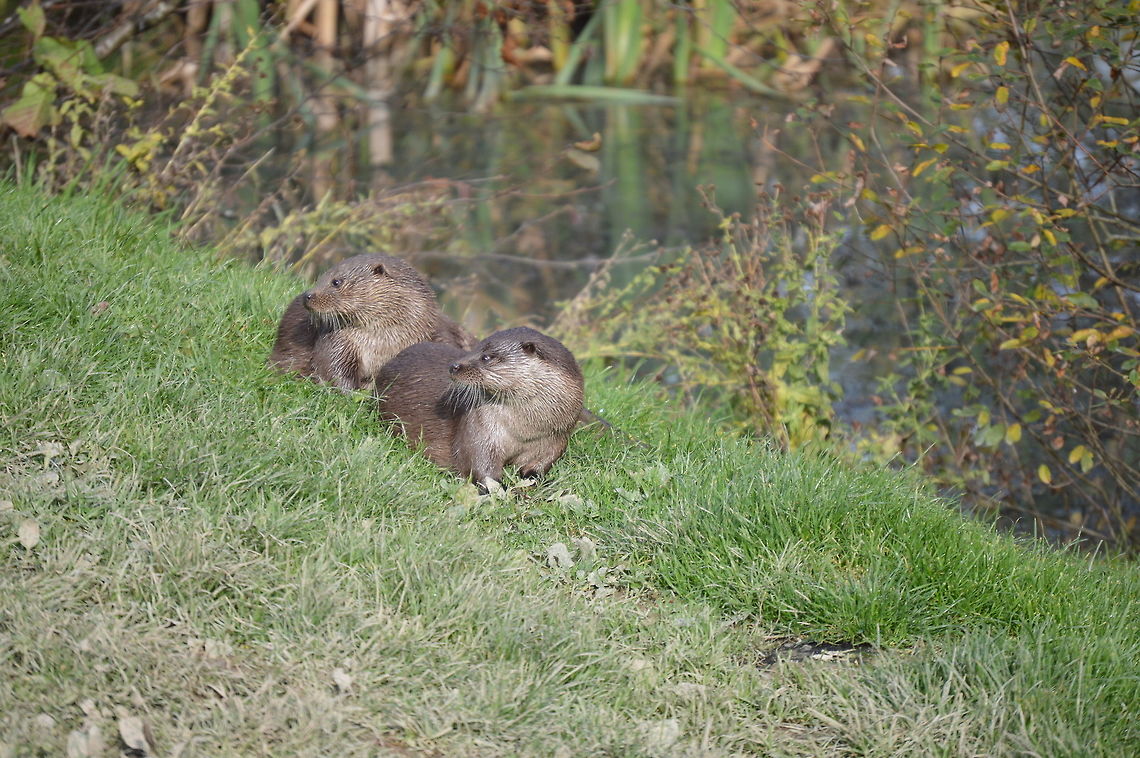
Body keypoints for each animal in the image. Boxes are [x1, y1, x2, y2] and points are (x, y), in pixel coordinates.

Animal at [267, 253, 475, 390]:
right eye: (320, 277)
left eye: (336, 282)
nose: (307, 296)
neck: (384, 343)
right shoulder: (338, 341)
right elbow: (333, 369)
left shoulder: (436, 335)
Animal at [375, 327, 585, 489]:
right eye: (472, 349)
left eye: (487, 357)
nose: (454, 366)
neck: (525, 430)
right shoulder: (479, 429)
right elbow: (480, 466)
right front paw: (500, 489)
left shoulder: (555, 438)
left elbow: (542, 461)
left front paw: (536, 478)